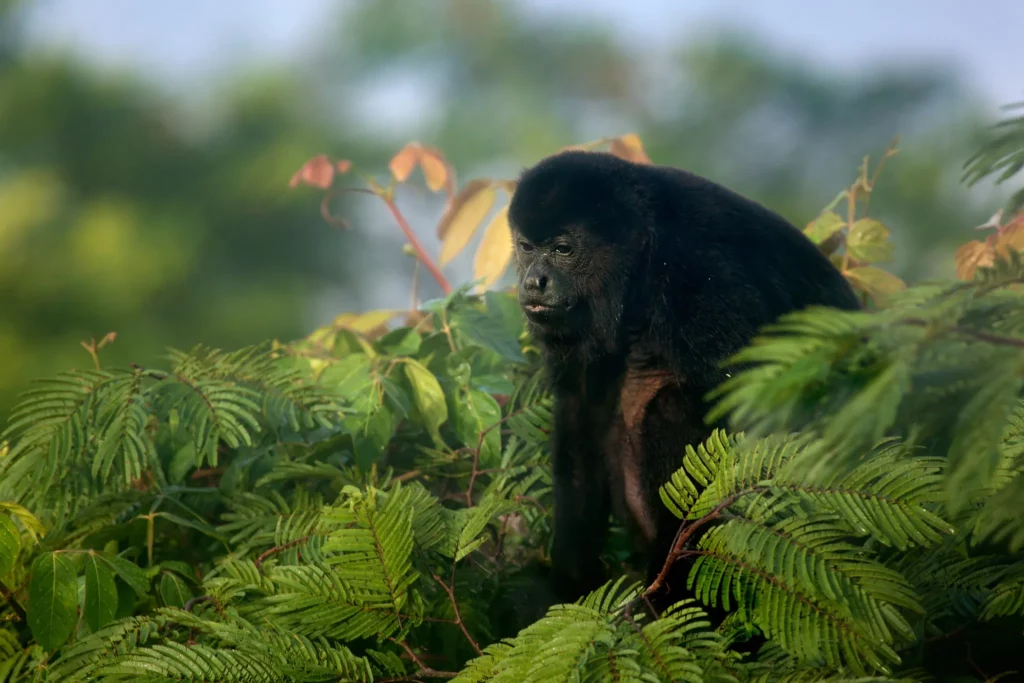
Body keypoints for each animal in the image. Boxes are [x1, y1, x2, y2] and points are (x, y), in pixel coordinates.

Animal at [507, 149, 861, 613]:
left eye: (563, 249)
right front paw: (571, 581)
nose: (533, 281)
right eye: (527, 247)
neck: (639, 270)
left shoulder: (701, 279)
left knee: (673, 407)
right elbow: (578, 414)